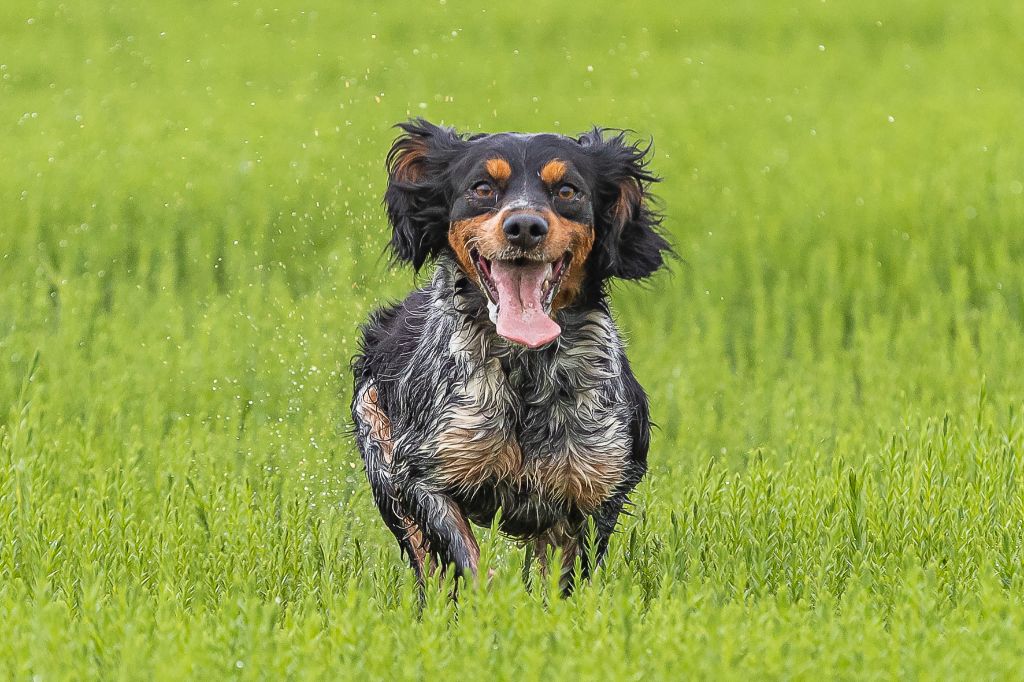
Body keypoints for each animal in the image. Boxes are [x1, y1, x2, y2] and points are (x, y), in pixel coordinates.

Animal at [352, 116, 671, 589]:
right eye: (483, 187)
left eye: (568, 191)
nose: (524, 226)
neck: (526, 369)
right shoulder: (421, 471)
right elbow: (464, 558)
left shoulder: (595, 490)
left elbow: (564, 580)